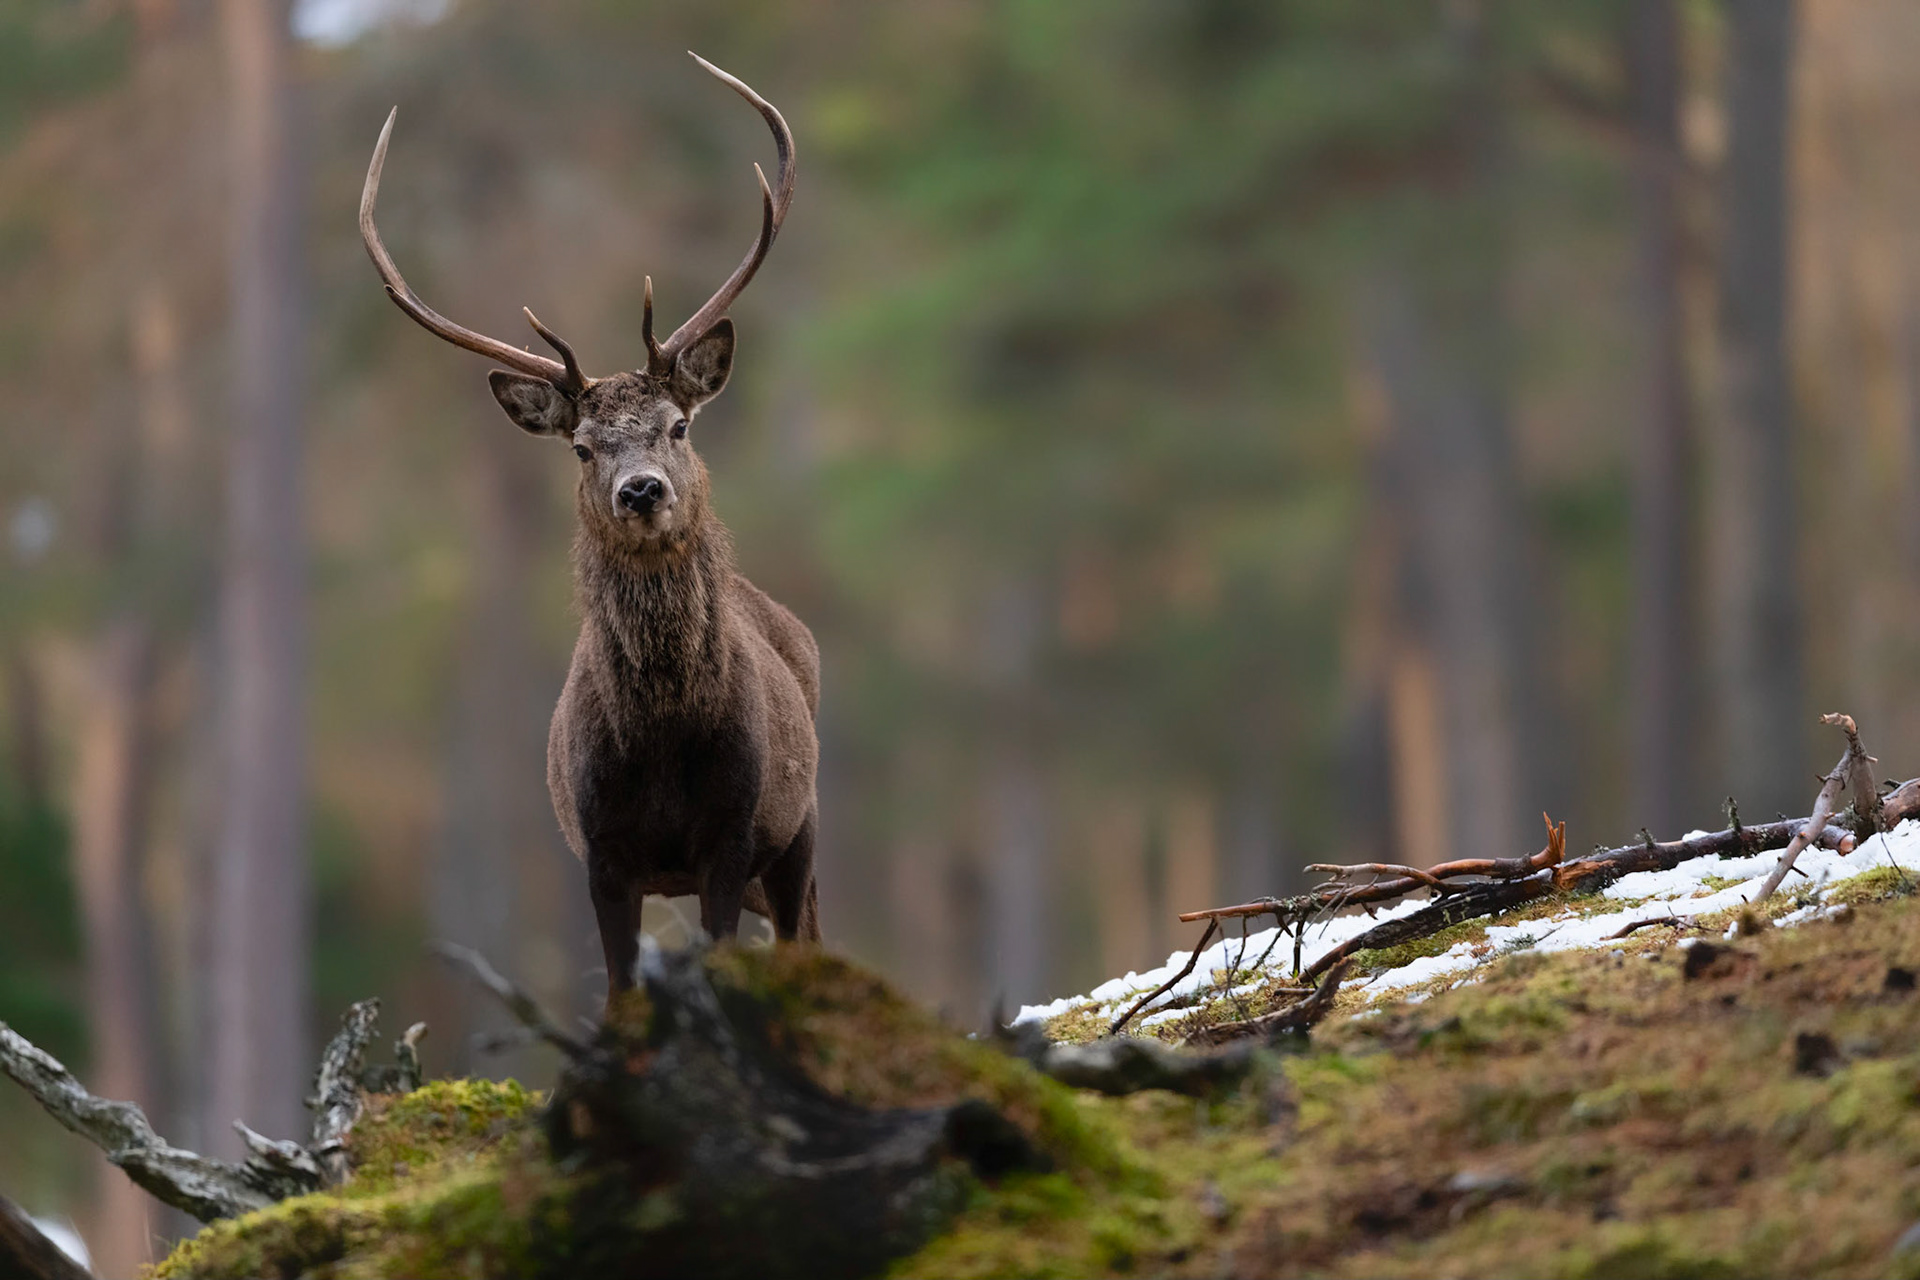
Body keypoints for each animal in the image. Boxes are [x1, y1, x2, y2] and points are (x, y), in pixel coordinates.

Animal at [359, 55, 820, 996]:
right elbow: (616, 992)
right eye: (580, 446)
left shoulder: (732, 836)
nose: (640, 492)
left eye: (677, 426)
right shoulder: (601, 854)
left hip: (802, 828)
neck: (664, 744)